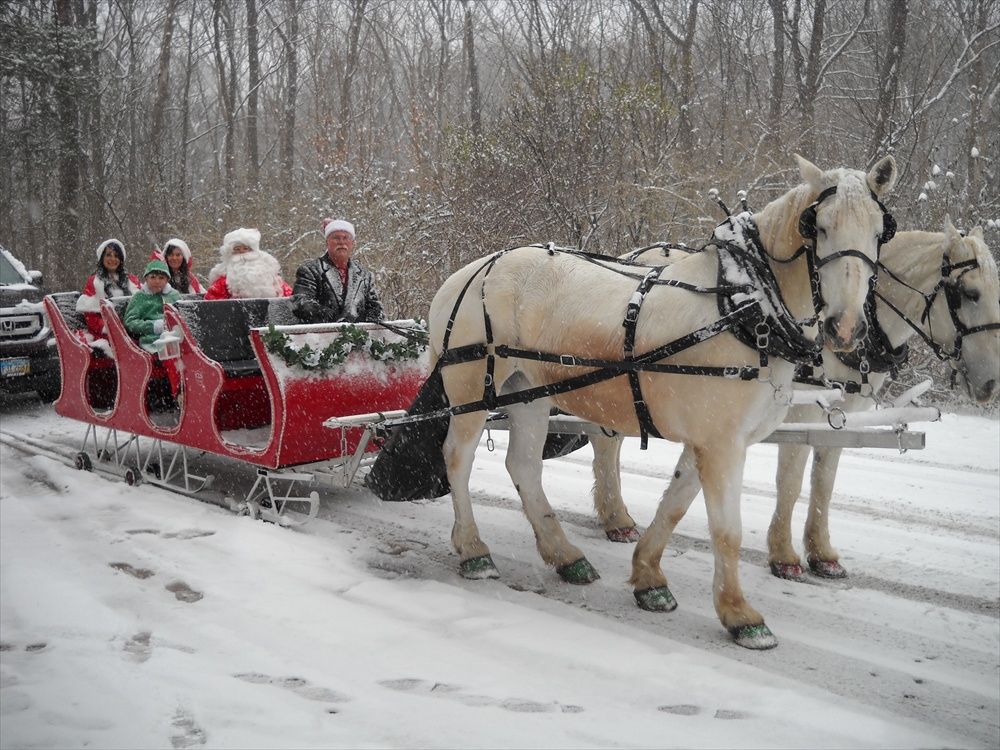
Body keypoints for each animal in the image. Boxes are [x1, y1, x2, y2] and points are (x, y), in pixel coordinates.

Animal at [426, 156, 896, 648]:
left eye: (880, 231)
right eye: (818, 226)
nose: (846, 327)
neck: (745, 309)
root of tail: (468, 272)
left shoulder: (711, 440)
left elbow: (675, 504)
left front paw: (648, 577)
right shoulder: (722, 444)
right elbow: (726, 531)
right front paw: (740, 614)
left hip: (528, 394)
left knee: (523, 467)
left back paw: (565, 555)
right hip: (472, 390)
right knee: (457, 458)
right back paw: (473, 550)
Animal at [584, 219, 1000, 580]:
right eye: (970, 293)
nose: (991, 383)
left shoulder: (839, 418)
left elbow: (823, 483)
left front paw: (822, 553)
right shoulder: (800, 413)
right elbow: (791, 482)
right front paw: (784, 555)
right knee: (605, 441)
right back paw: (616, 518)